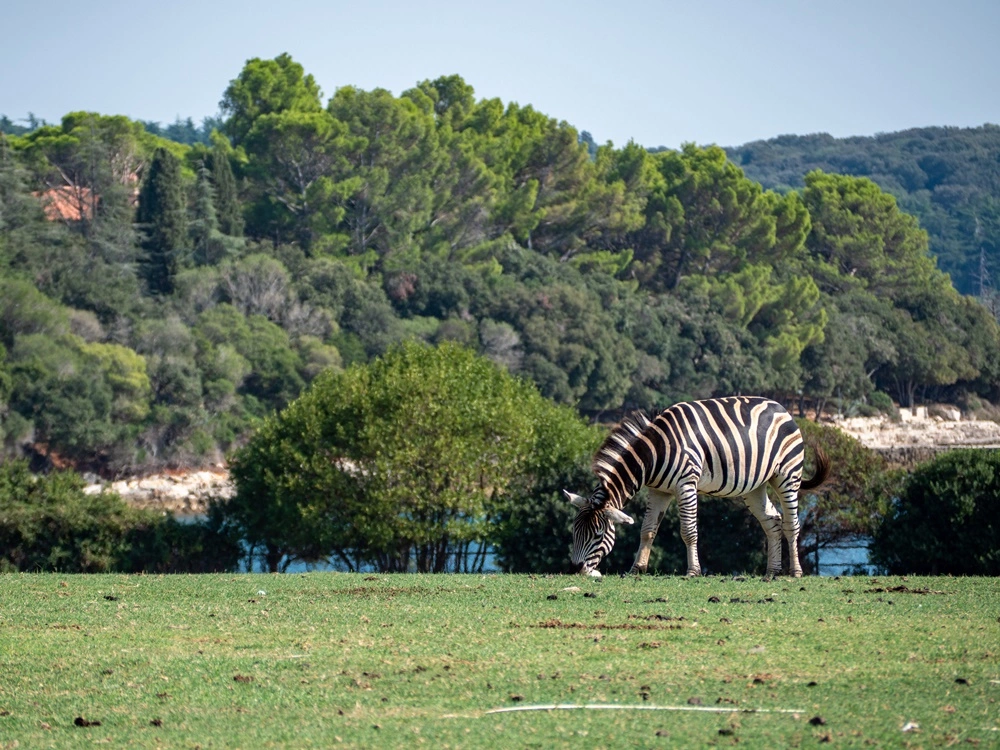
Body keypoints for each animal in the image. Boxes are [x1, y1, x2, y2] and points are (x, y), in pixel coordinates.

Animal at [568, 400, 832, 580]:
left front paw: (693, 571)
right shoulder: (659, 490)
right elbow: (647, 531)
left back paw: (795, 572)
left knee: (791, 524)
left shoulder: (686, 484)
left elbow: (688, 531)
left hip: (787, 474)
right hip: (755, 487)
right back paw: (772, 571)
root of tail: (781, 407)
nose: (575, 568)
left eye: (598, 534)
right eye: (574, 531)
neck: (655, 453)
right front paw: (637, 568)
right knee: (773, 521)